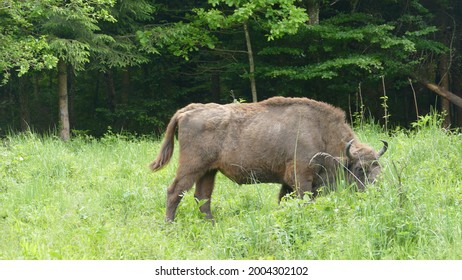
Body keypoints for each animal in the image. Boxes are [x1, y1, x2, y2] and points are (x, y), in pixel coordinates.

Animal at [151, 96, 386, 221]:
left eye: (378, 167)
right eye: (359, 169)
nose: (376, 190)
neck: (321, 133)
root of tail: (187, 111)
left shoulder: (288, 183)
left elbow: (283, 200)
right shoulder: (302, 178)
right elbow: (303, 200)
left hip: (209, 171)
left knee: (202, 197)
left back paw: (211, 223)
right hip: (191, 167)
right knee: (175, 191)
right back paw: (169, 225)